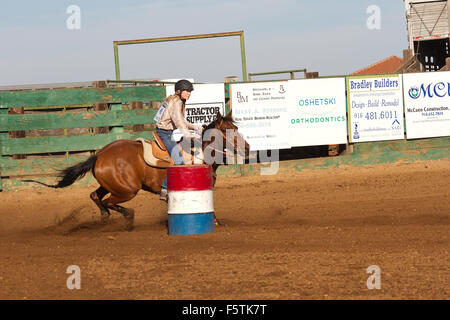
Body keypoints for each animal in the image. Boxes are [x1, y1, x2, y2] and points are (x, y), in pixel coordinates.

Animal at [23, 112, 250, 230]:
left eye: (237, 128)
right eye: (228, 130)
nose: (247, 148)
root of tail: (99, 154)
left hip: (110, 185)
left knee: (95, 196)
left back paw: (105, 219)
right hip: (127, 190)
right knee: (109, 202)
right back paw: (126, 218)